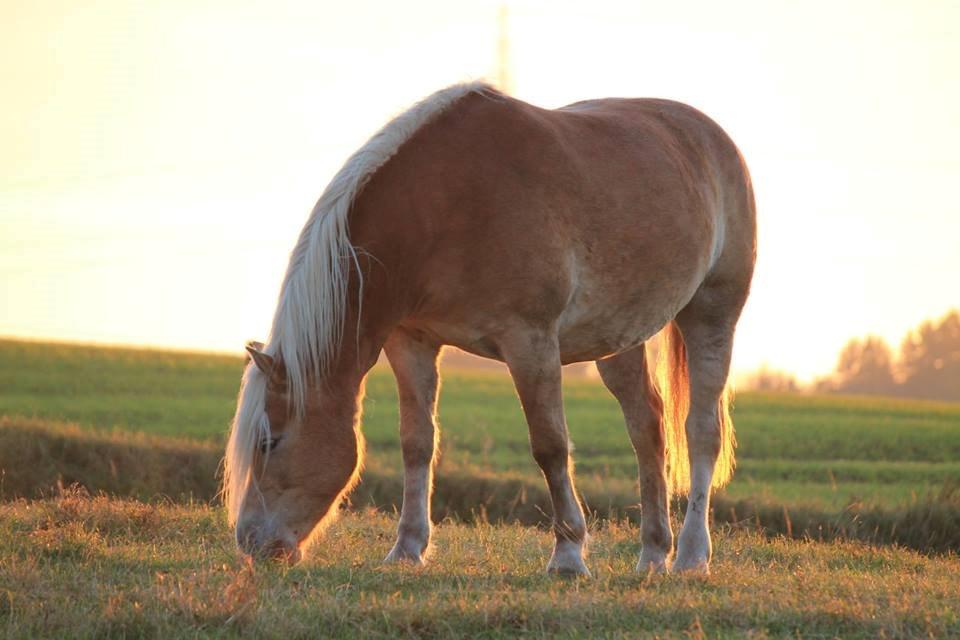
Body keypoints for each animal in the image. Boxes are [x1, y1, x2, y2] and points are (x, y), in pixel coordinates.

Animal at [221, 80, 752, 576]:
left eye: (269, 442)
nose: (251, 544)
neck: (446, 205)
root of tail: (712, 137)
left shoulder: (531, 343)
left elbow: (550, 446)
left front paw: (568, 555)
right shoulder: (411, 341)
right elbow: (417, 443)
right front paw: (408, 548)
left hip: (713, 313)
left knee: (701, 431)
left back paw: (691, 556)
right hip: (619, 338)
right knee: (647, 428)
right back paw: (653, 553)